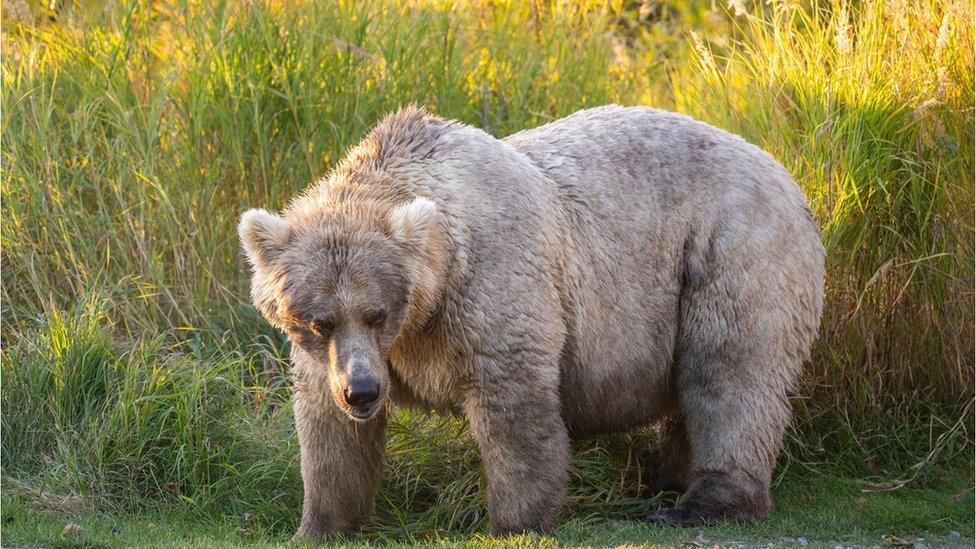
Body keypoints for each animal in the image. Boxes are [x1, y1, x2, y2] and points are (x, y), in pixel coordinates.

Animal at [238, 105, 824, 536]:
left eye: (377, 312)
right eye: (319, 321)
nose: (362, 391)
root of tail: (784, 171)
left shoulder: (490, 282)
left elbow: (512, 404)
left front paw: (514, 520)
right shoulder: (338, 358)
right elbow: (330, 433)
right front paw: (319, 525)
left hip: (728, 251)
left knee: (729, 374)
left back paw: (702, 501)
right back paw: (668, 479)